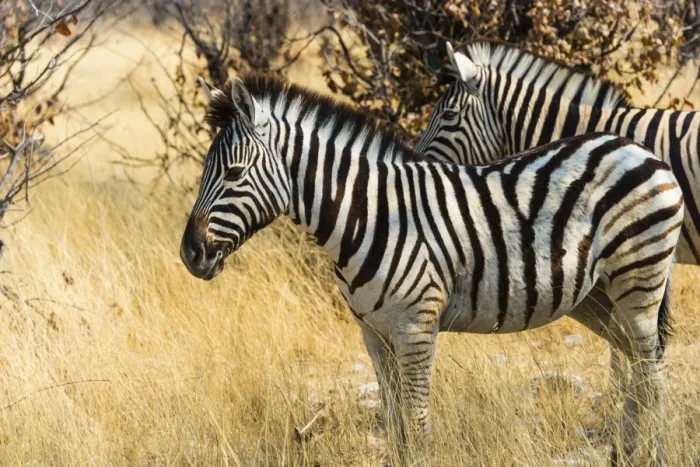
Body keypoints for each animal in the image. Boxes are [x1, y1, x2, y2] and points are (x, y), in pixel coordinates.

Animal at [180, 74, 683, 465]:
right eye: (206, 170)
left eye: (234, 173)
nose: (190, 254)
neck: (370, 215)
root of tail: (637, 148)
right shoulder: (374, 333)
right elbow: (394, 424)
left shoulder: (417, 326)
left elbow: (417, 424)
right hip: (597, 296)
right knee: (637, 366)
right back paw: (625, 454)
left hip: (639, 279)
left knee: (653, 375)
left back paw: (655, 456)